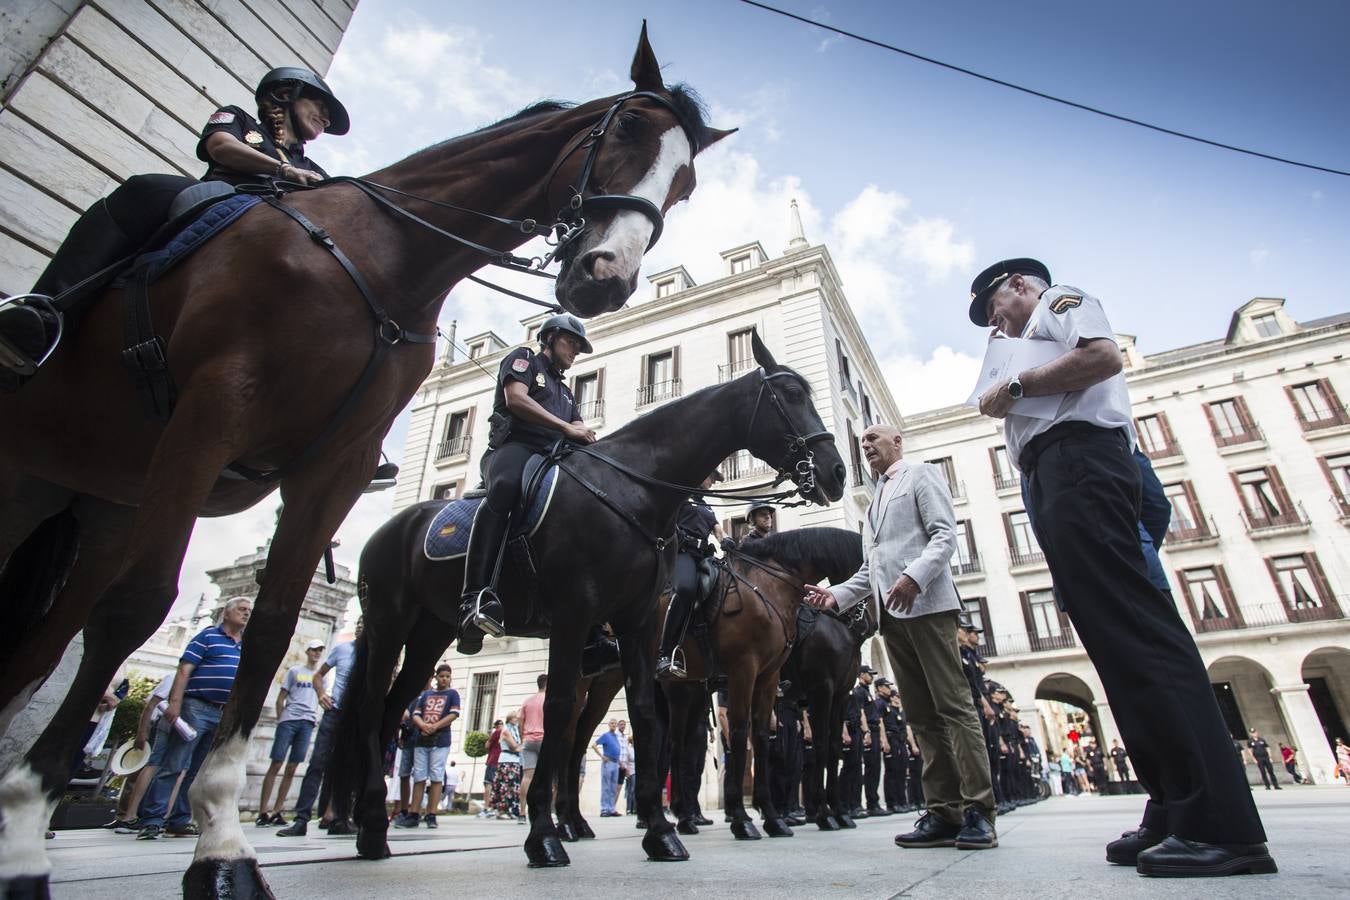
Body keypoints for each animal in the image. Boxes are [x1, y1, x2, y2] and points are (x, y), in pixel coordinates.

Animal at [0, 28, 734, 900]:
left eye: (686, 183)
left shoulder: (337, 467)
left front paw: (221, 847)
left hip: (95, 498)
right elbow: (136, 608)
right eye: (626, 129)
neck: (385, 254)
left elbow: (272, 628)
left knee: (47, 637)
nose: (607, 278)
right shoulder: (210, 413)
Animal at [326, 334, 842, 868]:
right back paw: (373, 822)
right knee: (372, 708)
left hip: (432, 634)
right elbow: (557, 712)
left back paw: (372, 826)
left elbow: (646, 715)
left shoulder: (642, 628)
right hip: (390, 624)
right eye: (792, 394)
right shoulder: (577, 620)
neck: (629, 489)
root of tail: (391, 528)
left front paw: (660, 832)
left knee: (392, 708)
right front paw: (543, 836)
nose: (837, 471)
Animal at [664, 523, 864, 841]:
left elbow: (765, 737)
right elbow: (745, 732)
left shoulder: (779, 679)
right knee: (676, 745)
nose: (863, 618)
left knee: (684, 745)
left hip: (695, 689)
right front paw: (743, 818)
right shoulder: (756, 673)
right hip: (677, 689)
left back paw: (685, 817)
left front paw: (775, 818)